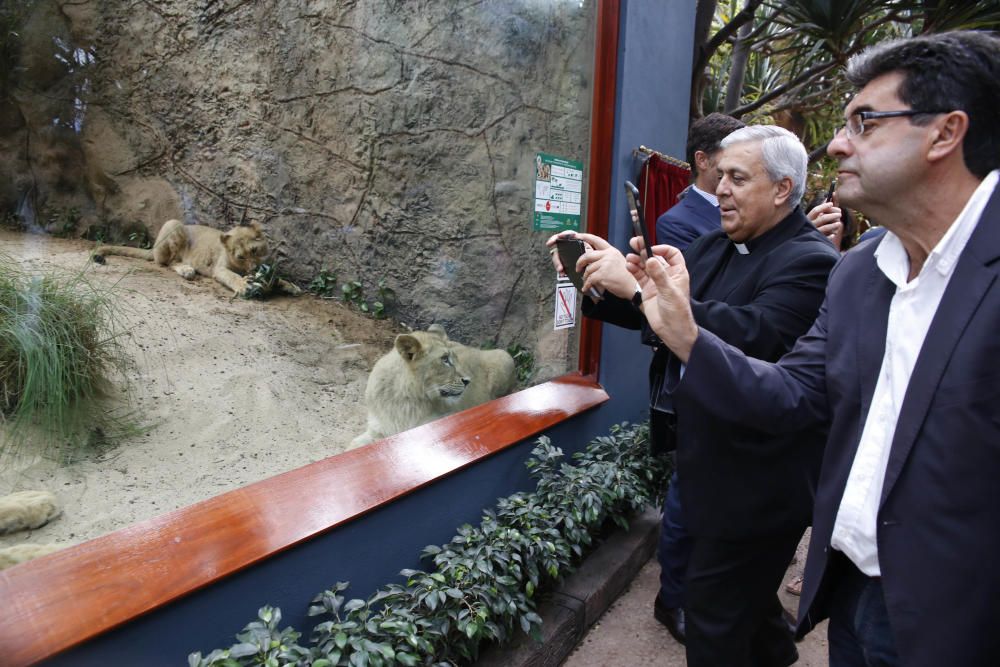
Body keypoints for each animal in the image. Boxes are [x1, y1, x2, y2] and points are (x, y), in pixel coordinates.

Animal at [97, 219, 300, 298]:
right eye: (241, 257)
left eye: (255, 250)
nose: (254, 269)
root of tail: (153, 248)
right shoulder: (219, 269)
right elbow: (232, 277)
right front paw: (245, 286)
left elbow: (279, 278)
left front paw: (291, 286)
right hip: (174, 225)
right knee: (167, 262)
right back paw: (187, 270)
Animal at [354, 326, 516, 446]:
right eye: (445, 359)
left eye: (455, 359)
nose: (468, 380)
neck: (405, 399)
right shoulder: (377, 430)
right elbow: (354, 445)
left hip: (505, 356)